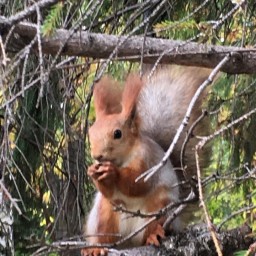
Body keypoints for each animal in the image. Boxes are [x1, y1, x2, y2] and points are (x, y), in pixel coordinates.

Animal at [81, 65, 211, 255]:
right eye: (91, 132)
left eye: (118, 133)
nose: (97, 156)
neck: (122, 159)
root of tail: (130, 242)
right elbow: (109, 192)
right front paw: (93, 172)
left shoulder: (147, 160)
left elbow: (137, 184)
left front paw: (113, 173)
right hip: (105, 215)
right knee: (107, 234)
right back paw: (96, 249)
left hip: (158, 208)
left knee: (151, 228)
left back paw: (153, 236)